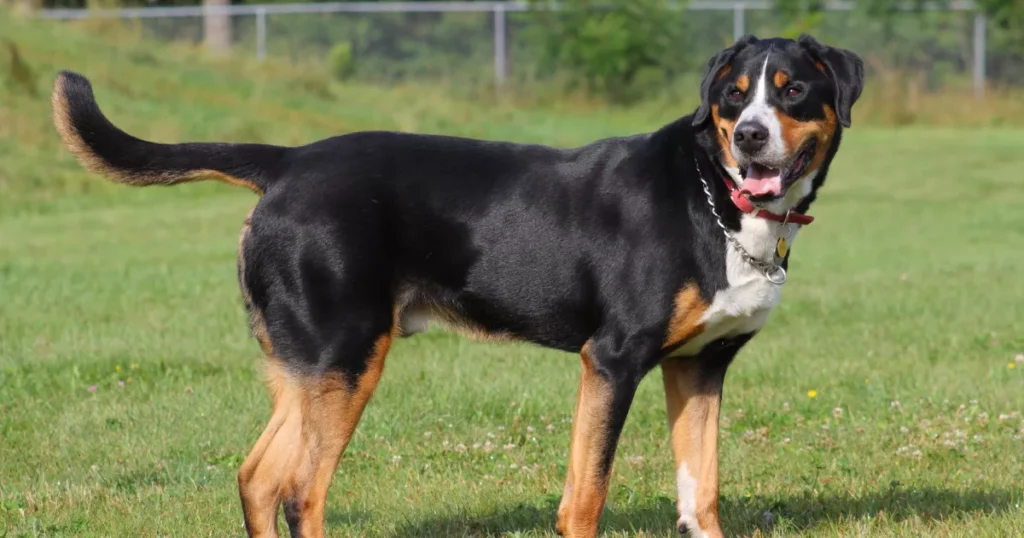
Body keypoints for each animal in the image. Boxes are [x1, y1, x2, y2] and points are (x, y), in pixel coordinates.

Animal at [49, 33, 864, 536]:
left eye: (791, 91)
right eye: (732, 96)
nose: (751, 136)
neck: (715, 200)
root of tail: (289, 161)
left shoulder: (700, 367)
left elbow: (703, 494)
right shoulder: (613, 359)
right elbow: (586, 495)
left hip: (312, 367)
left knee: (257, 479)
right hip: (349, 358)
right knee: (300, 492)